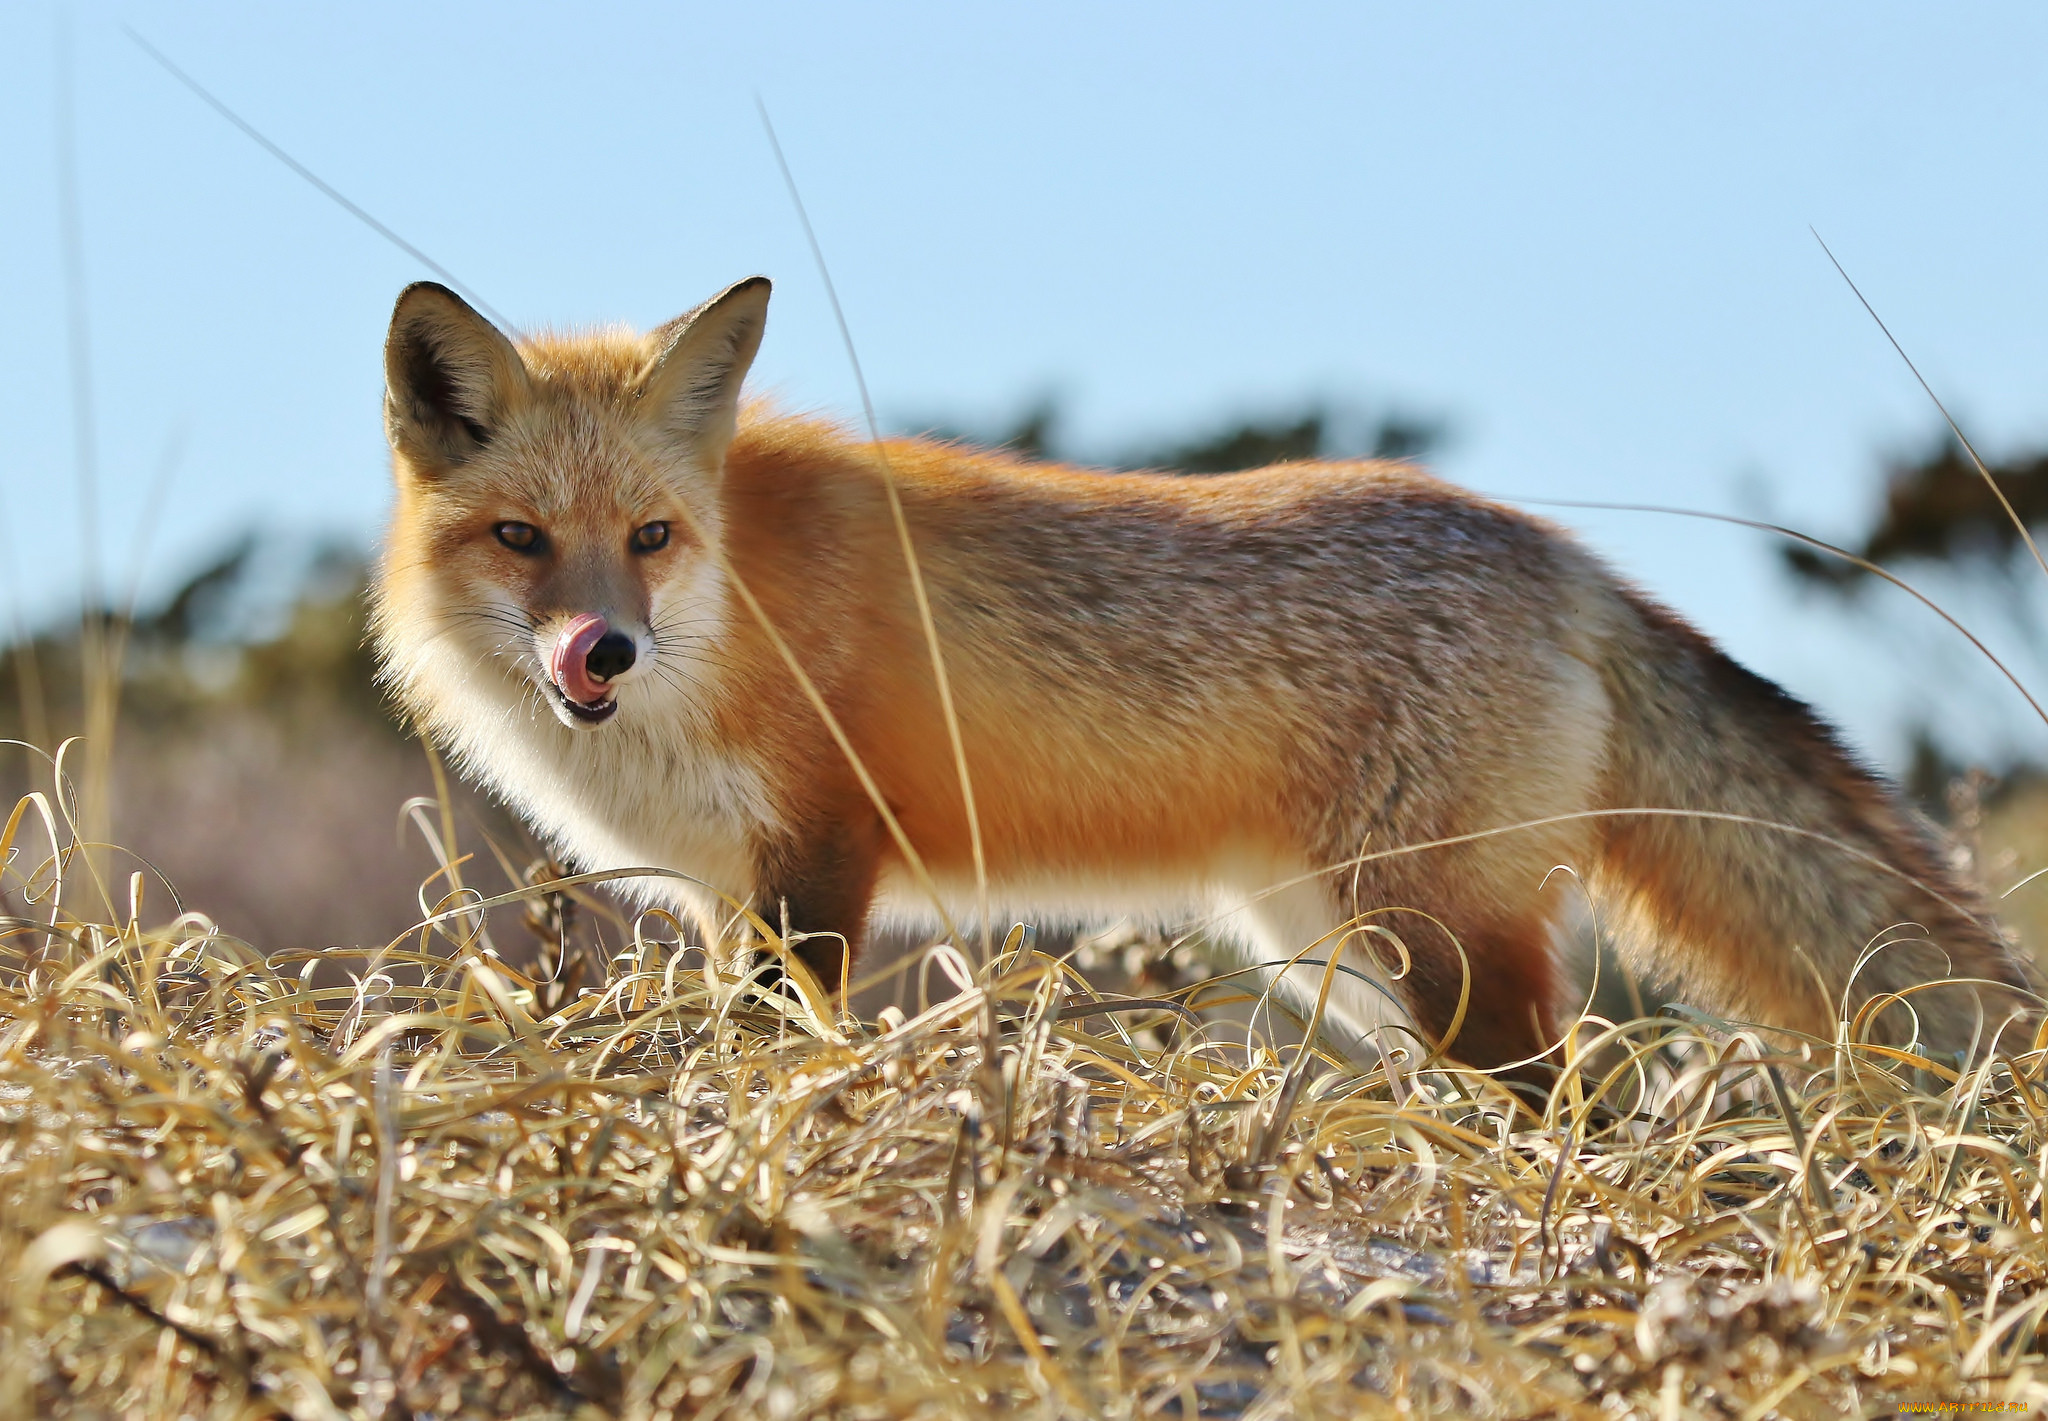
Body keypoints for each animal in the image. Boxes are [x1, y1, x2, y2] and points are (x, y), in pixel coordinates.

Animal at [368, 276, 2031, 1064]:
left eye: (649, 538)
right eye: (523, 539)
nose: (603, 647)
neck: (734, 614)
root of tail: (1559, 554)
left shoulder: (822, 859)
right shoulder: (734, 896)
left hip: (1430, 941)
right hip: (1338, 953)